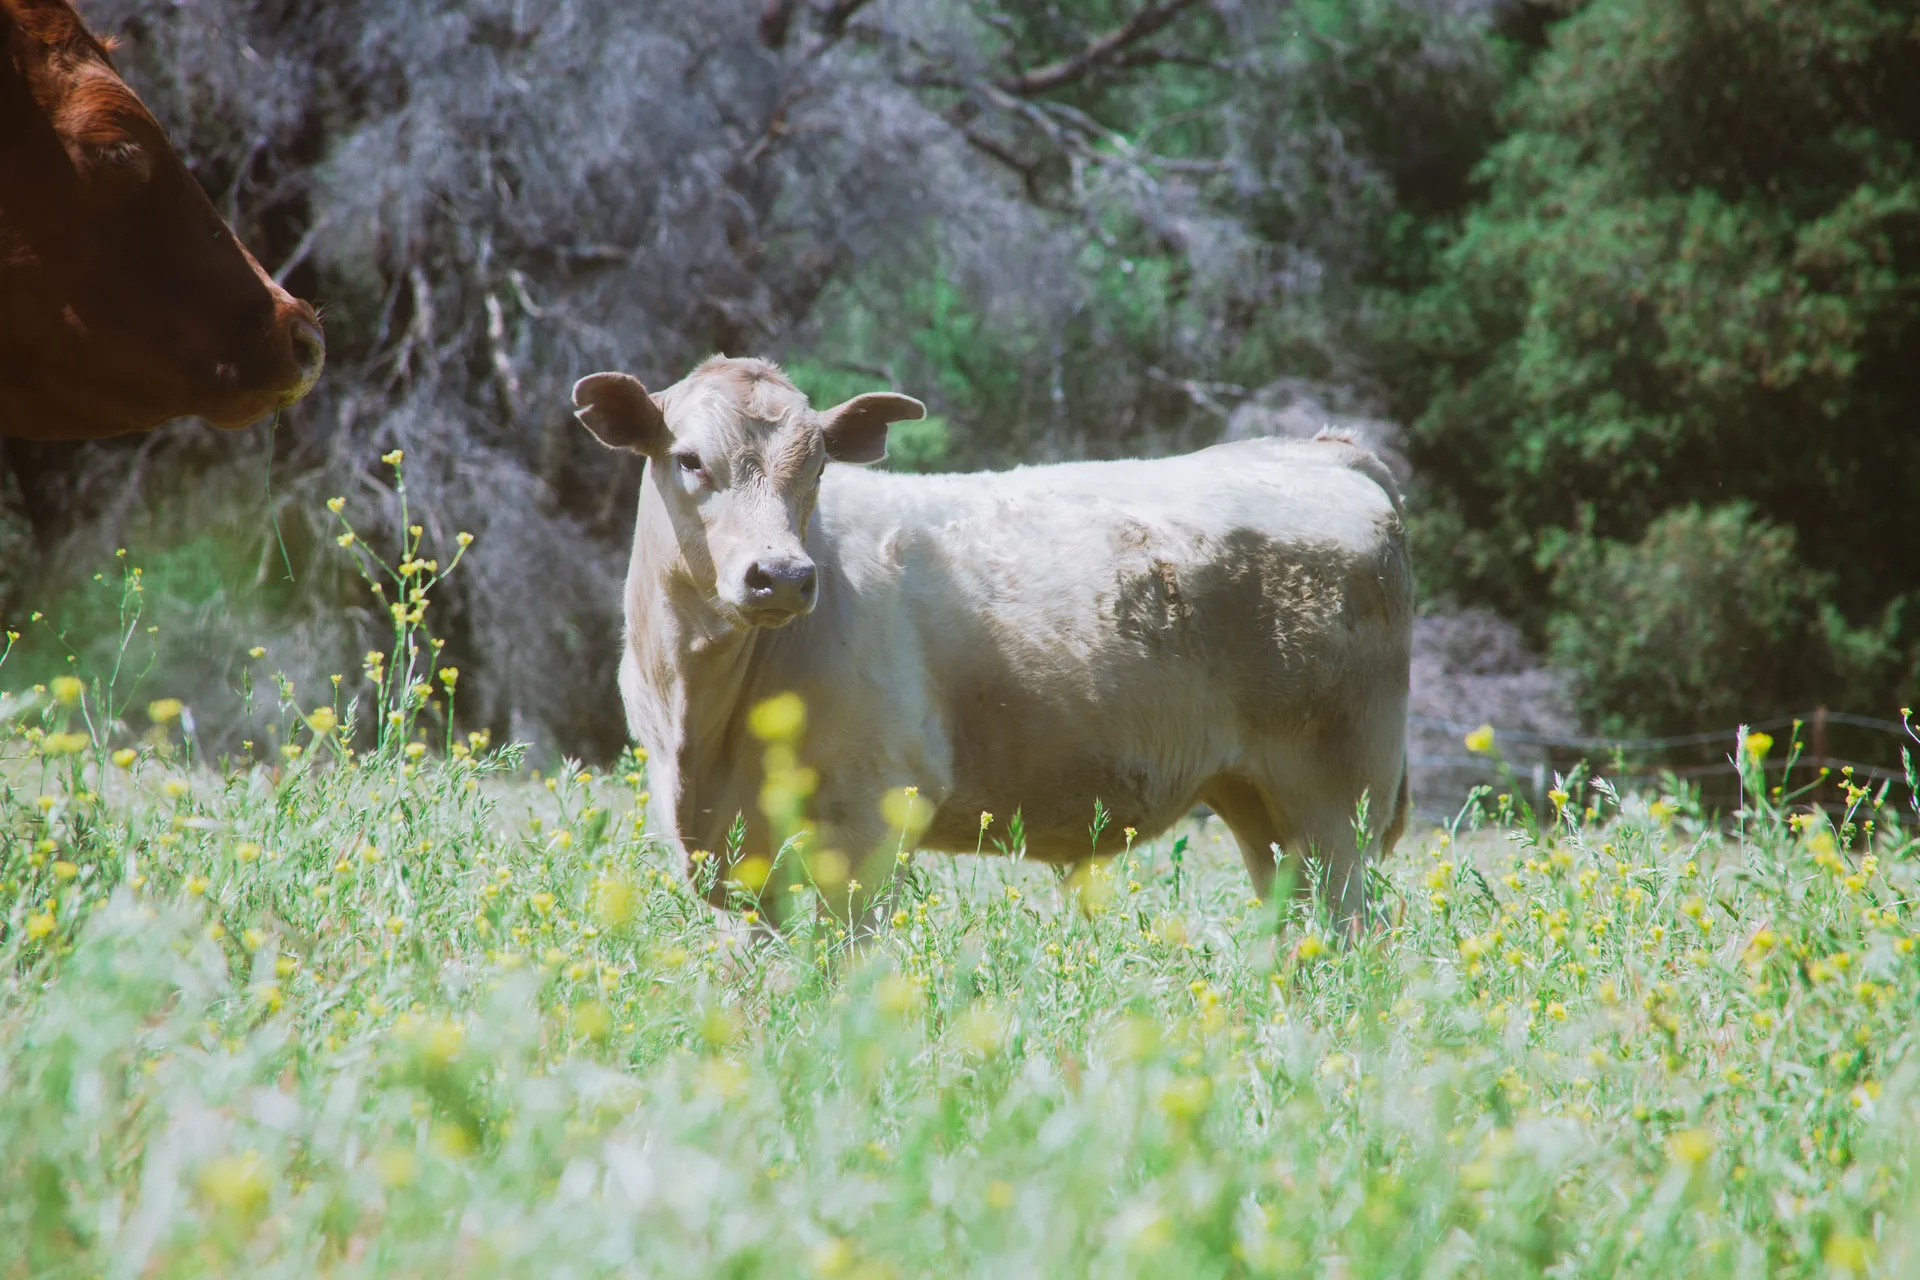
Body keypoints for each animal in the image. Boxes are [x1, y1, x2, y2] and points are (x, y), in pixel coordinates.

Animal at [574, 356, 1412, 928]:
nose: (781, 574)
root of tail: (1320, 451)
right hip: (1258, 801)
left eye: (816, 467)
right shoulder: (735, 854)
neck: (698, 716)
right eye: (689, 460)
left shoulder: (871, 821)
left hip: (1337, 799)